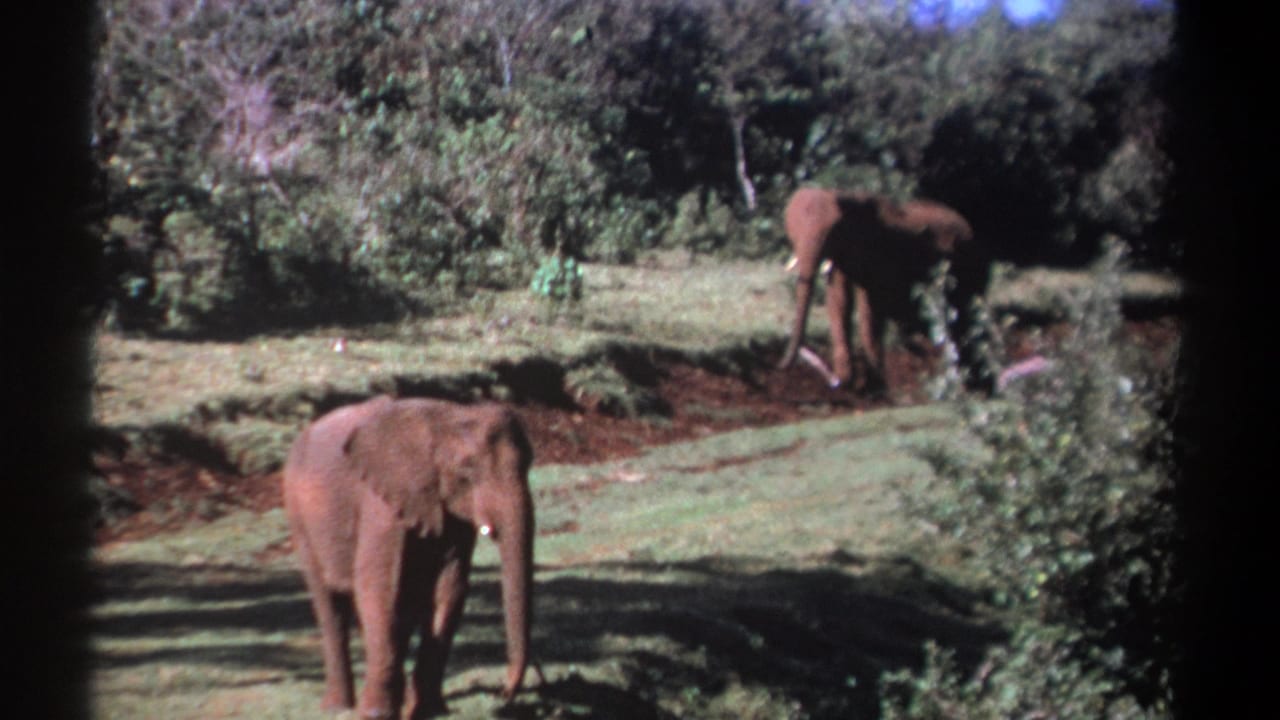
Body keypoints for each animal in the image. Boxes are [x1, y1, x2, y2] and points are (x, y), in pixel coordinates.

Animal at [282, 395, 535, 719]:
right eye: (467, 470)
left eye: (529, 463)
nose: (504, 693)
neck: (447, 416)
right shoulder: (381, 502)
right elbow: (378, 587)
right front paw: (375, 715)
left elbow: (449, 589)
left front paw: (430, 710)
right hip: (299, 517)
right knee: (331, 608)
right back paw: (338, 707)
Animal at [776, 187, 990, 391]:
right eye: (792, 229)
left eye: (832, 233)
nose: (781, 365)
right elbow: (839, 302)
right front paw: (848, 382)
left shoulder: (878, 256)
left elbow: (870, 308)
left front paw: (874, 382)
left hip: (969, 266)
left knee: (964, 319)